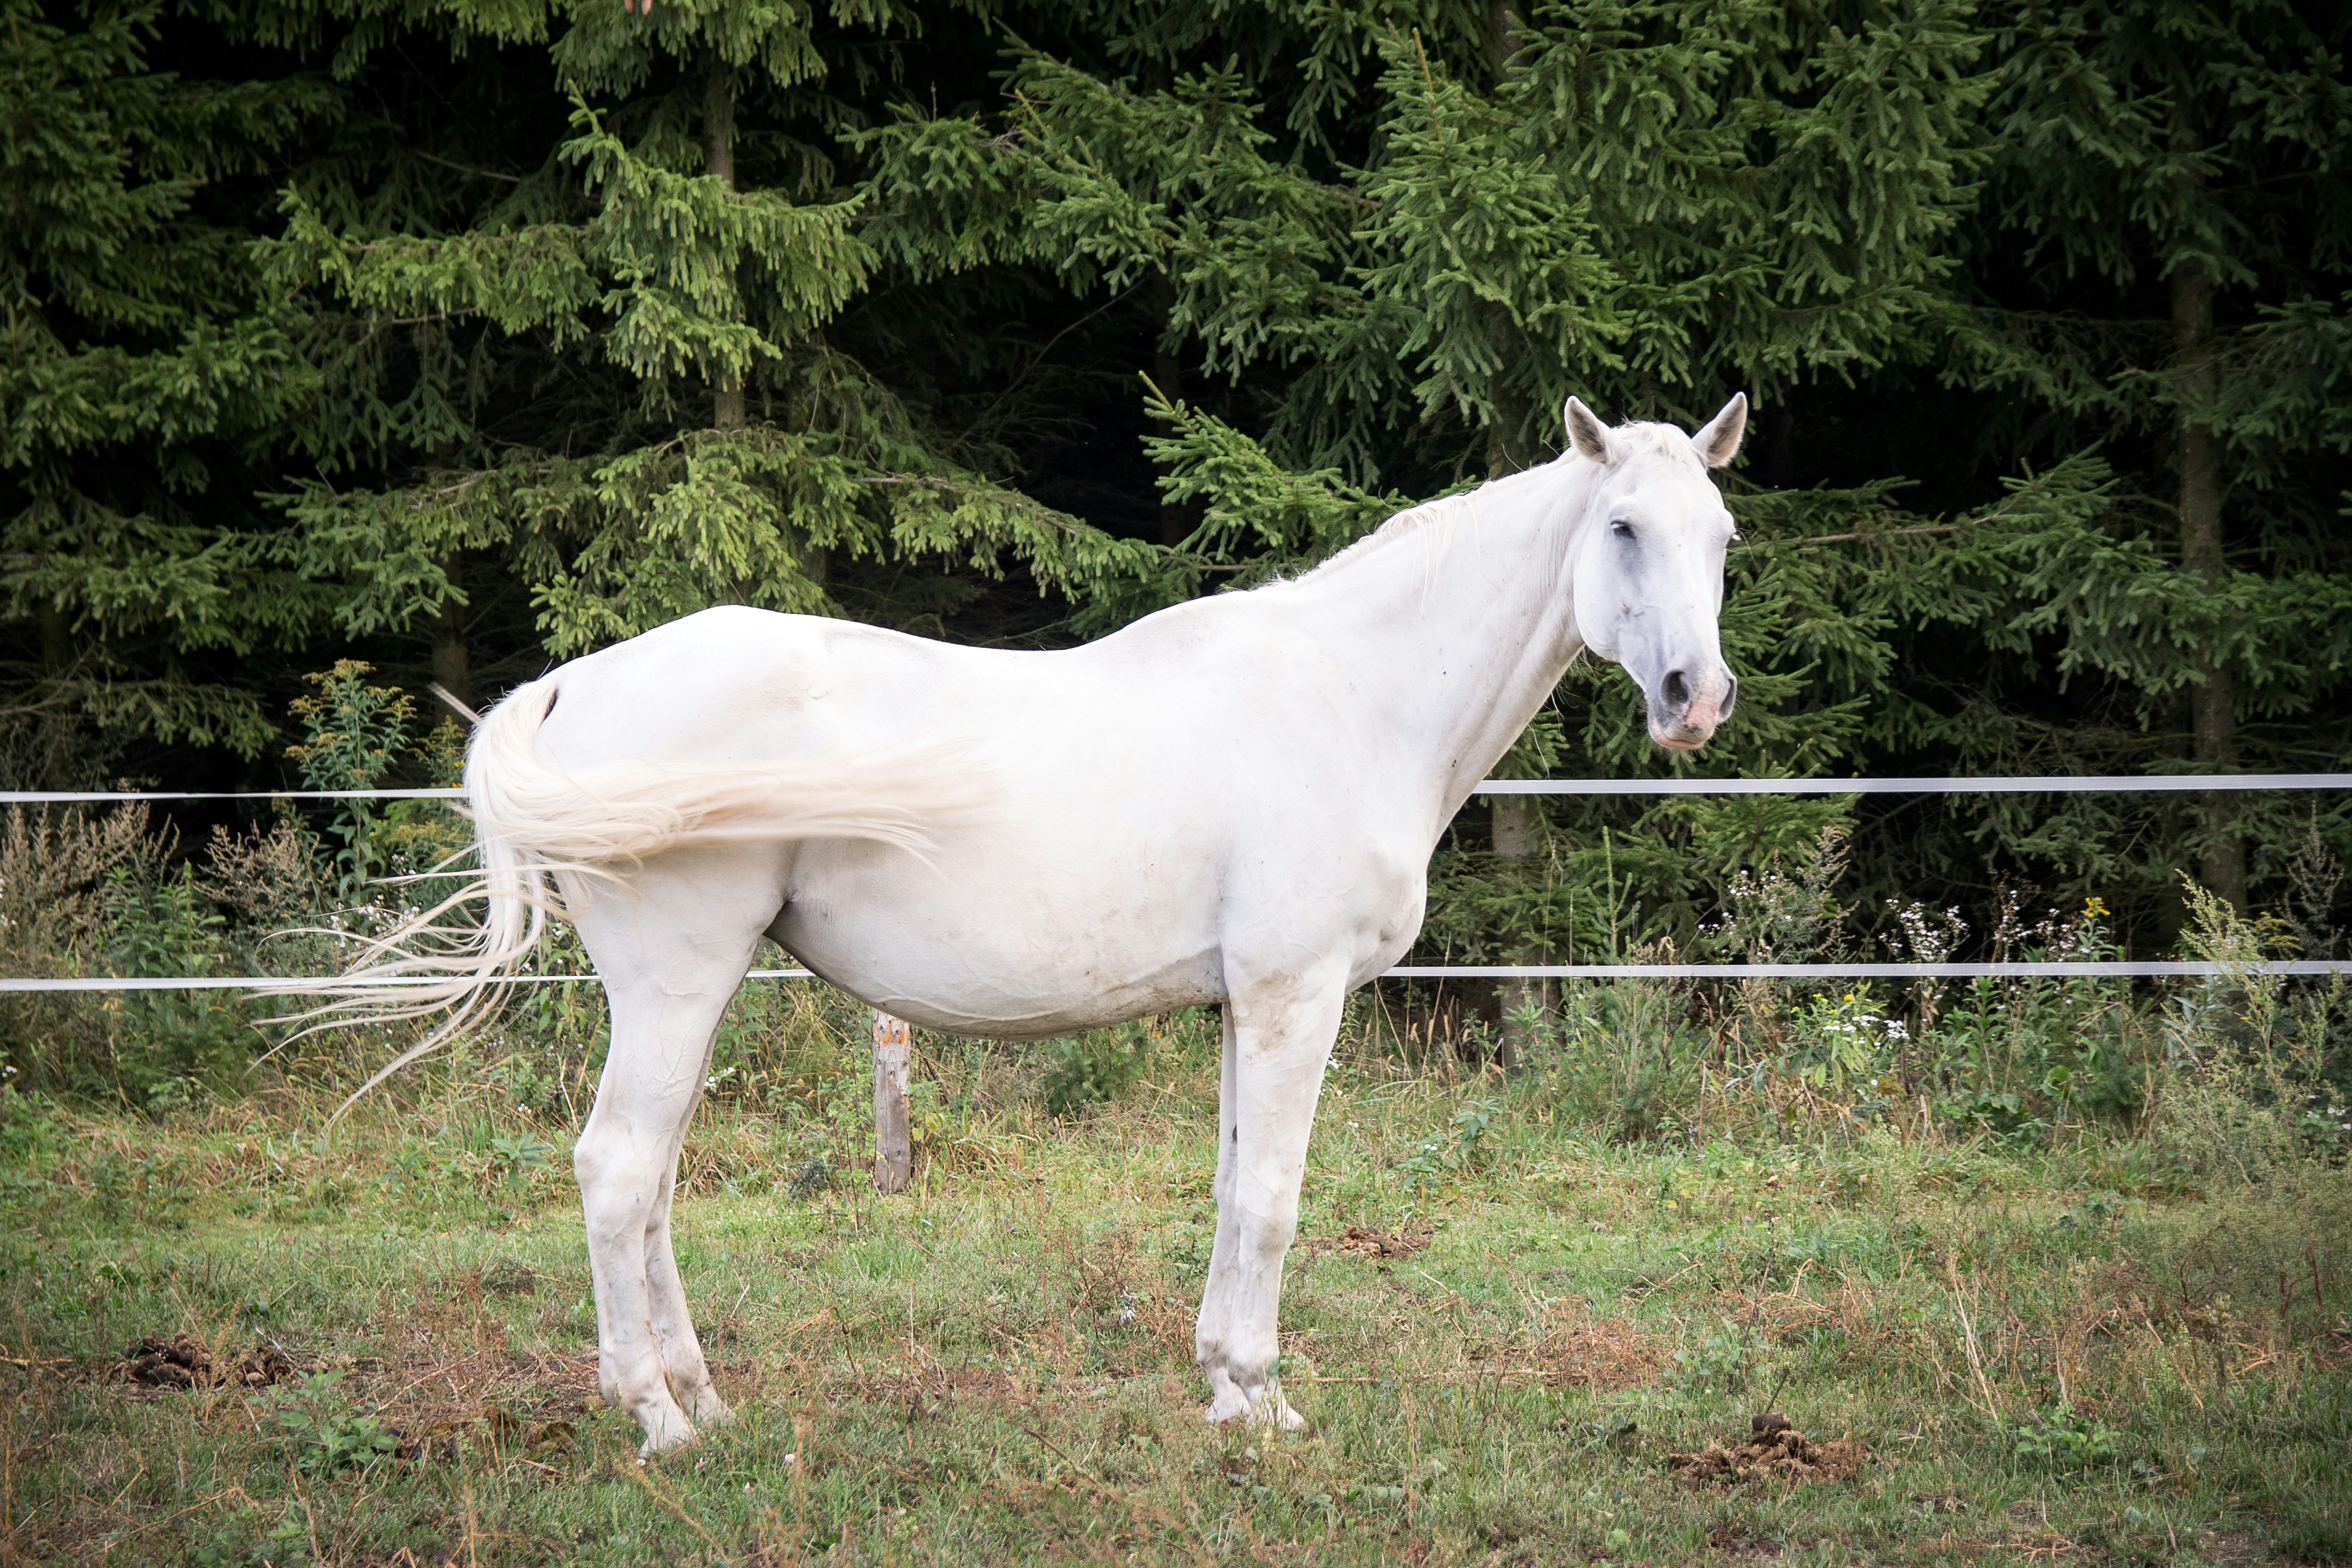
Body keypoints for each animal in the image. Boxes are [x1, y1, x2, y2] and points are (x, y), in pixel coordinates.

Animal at [338, 393, 1746, 1453]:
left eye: (1723, 535)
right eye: (1623, 525)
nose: (1696, 698)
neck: (1356, 695)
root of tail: (580, 685)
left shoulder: (1241, 1004)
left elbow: (1231, 1183)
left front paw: (1224, 1386)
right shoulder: (1294, 995)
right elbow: (1275, 1198)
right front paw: (1264, 1404)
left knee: (654, 1185)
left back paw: (704, 1400)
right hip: (676, 984)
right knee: (620, 1172)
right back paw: (661, 1422)